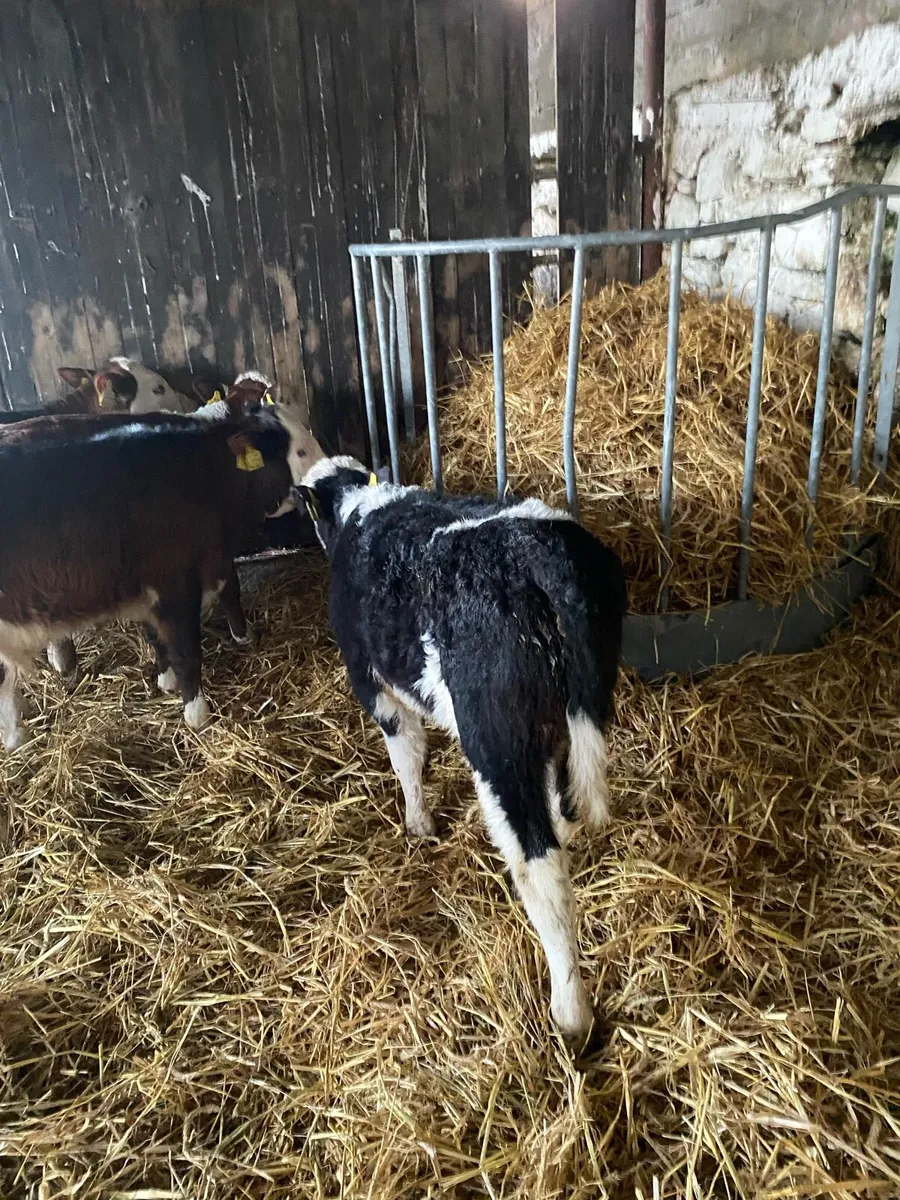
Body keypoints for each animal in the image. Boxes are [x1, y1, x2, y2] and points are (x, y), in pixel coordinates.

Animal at [0, 406, 315, 749]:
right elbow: (187, 652)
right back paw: (15, 736)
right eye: (300, 451)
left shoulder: (147, 591)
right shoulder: (175, 584)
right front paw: (197, 715)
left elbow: (156, 639)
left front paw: (166, 680)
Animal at [296, 456, 627, 1048]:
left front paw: (419, 824)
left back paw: (570, 1013)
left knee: (539, 862)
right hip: (569, 708)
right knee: (558, 810)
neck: (362, 508)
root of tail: (532, 545)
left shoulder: (374, 685)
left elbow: (406, 755)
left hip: (497, 740)